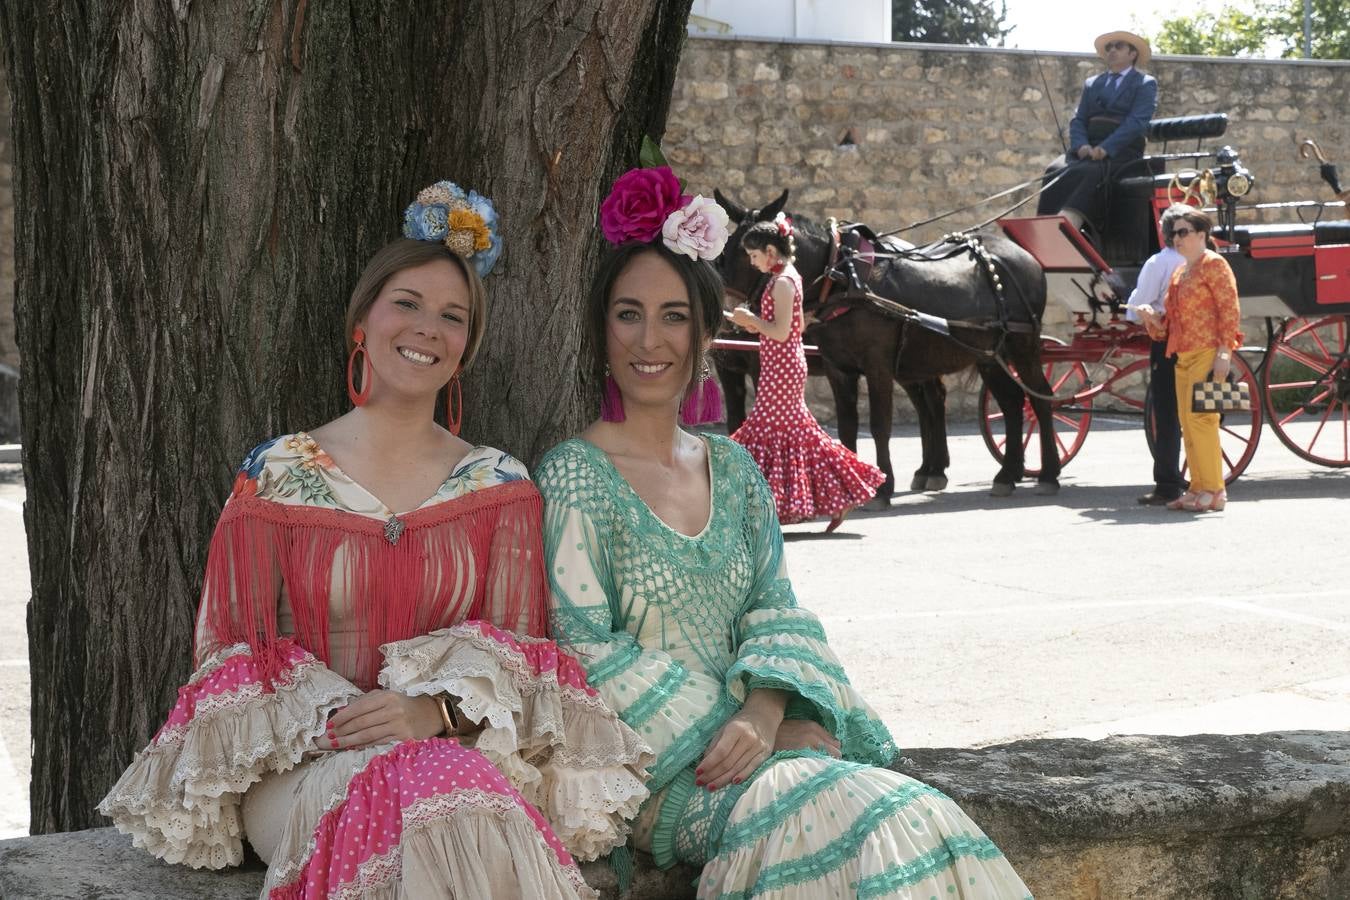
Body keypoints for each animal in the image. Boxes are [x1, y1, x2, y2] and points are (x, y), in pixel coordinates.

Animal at [712, 191, 1058, 499]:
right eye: (724, 251)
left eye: (747, 254)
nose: (727, 318)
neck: (843, 279)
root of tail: (1023, 257)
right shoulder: (838, 369)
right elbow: (847, 425)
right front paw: (852, 487)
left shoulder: (876, 367)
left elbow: (879, 425)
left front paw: (882, 487)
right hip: (984, 356)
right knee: (1006, 403)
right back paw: (1002, 473)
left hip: (1022, 346)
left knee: (1039, 399)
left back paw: (1047, 473)